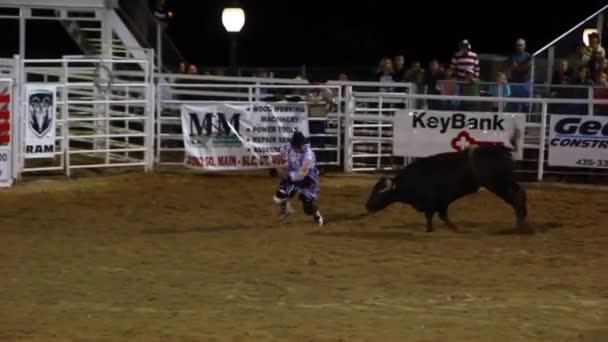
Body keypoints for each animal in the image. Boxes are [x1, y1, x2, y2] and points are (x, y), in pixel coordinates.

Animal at [364, 130, 528, 232]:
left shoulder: (432, 203)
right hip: (506, 182)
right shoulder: (441, 203)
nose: (367, 206)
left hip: (498, 184)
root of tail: (504, 149)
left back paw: (521, 224)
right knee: (520, 192)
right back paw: (522, 220)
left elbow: (432, 218)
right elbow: (442, 217)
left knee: (515, 197)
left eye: (379, 193)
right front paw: (455, 229)